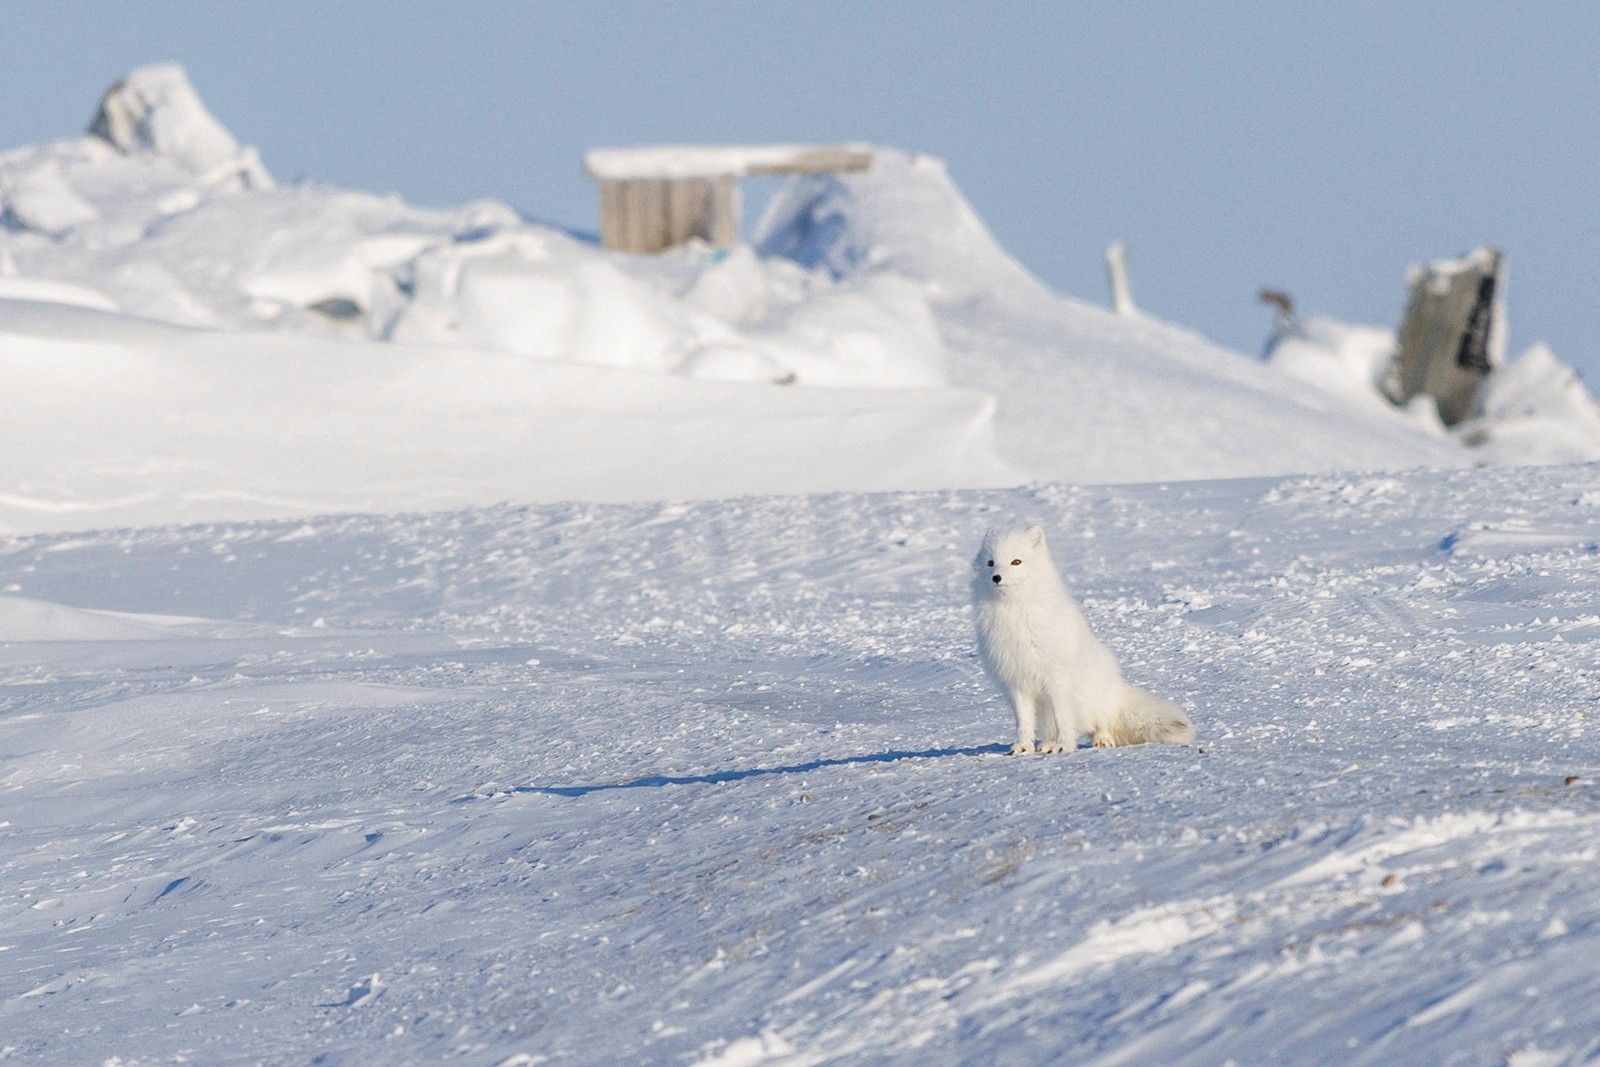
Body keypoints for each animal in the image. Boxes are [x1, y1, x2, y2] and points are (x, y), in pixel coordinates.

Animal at [973, 525, 1193, 754]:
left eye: (1016, 561)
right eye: (991, 562)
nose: (996, 577)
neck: (1015, 613)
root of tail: (1117, 689)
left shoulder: (1056, 677)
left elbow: (1063, 718)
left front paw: (1064, 745)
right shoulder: (1016, 682)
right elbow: (1023, 722)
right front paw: (1024, 747)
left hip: (1096, 699)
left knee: (1101, 724)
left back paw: (1101, 740)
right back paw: (1047, 743)